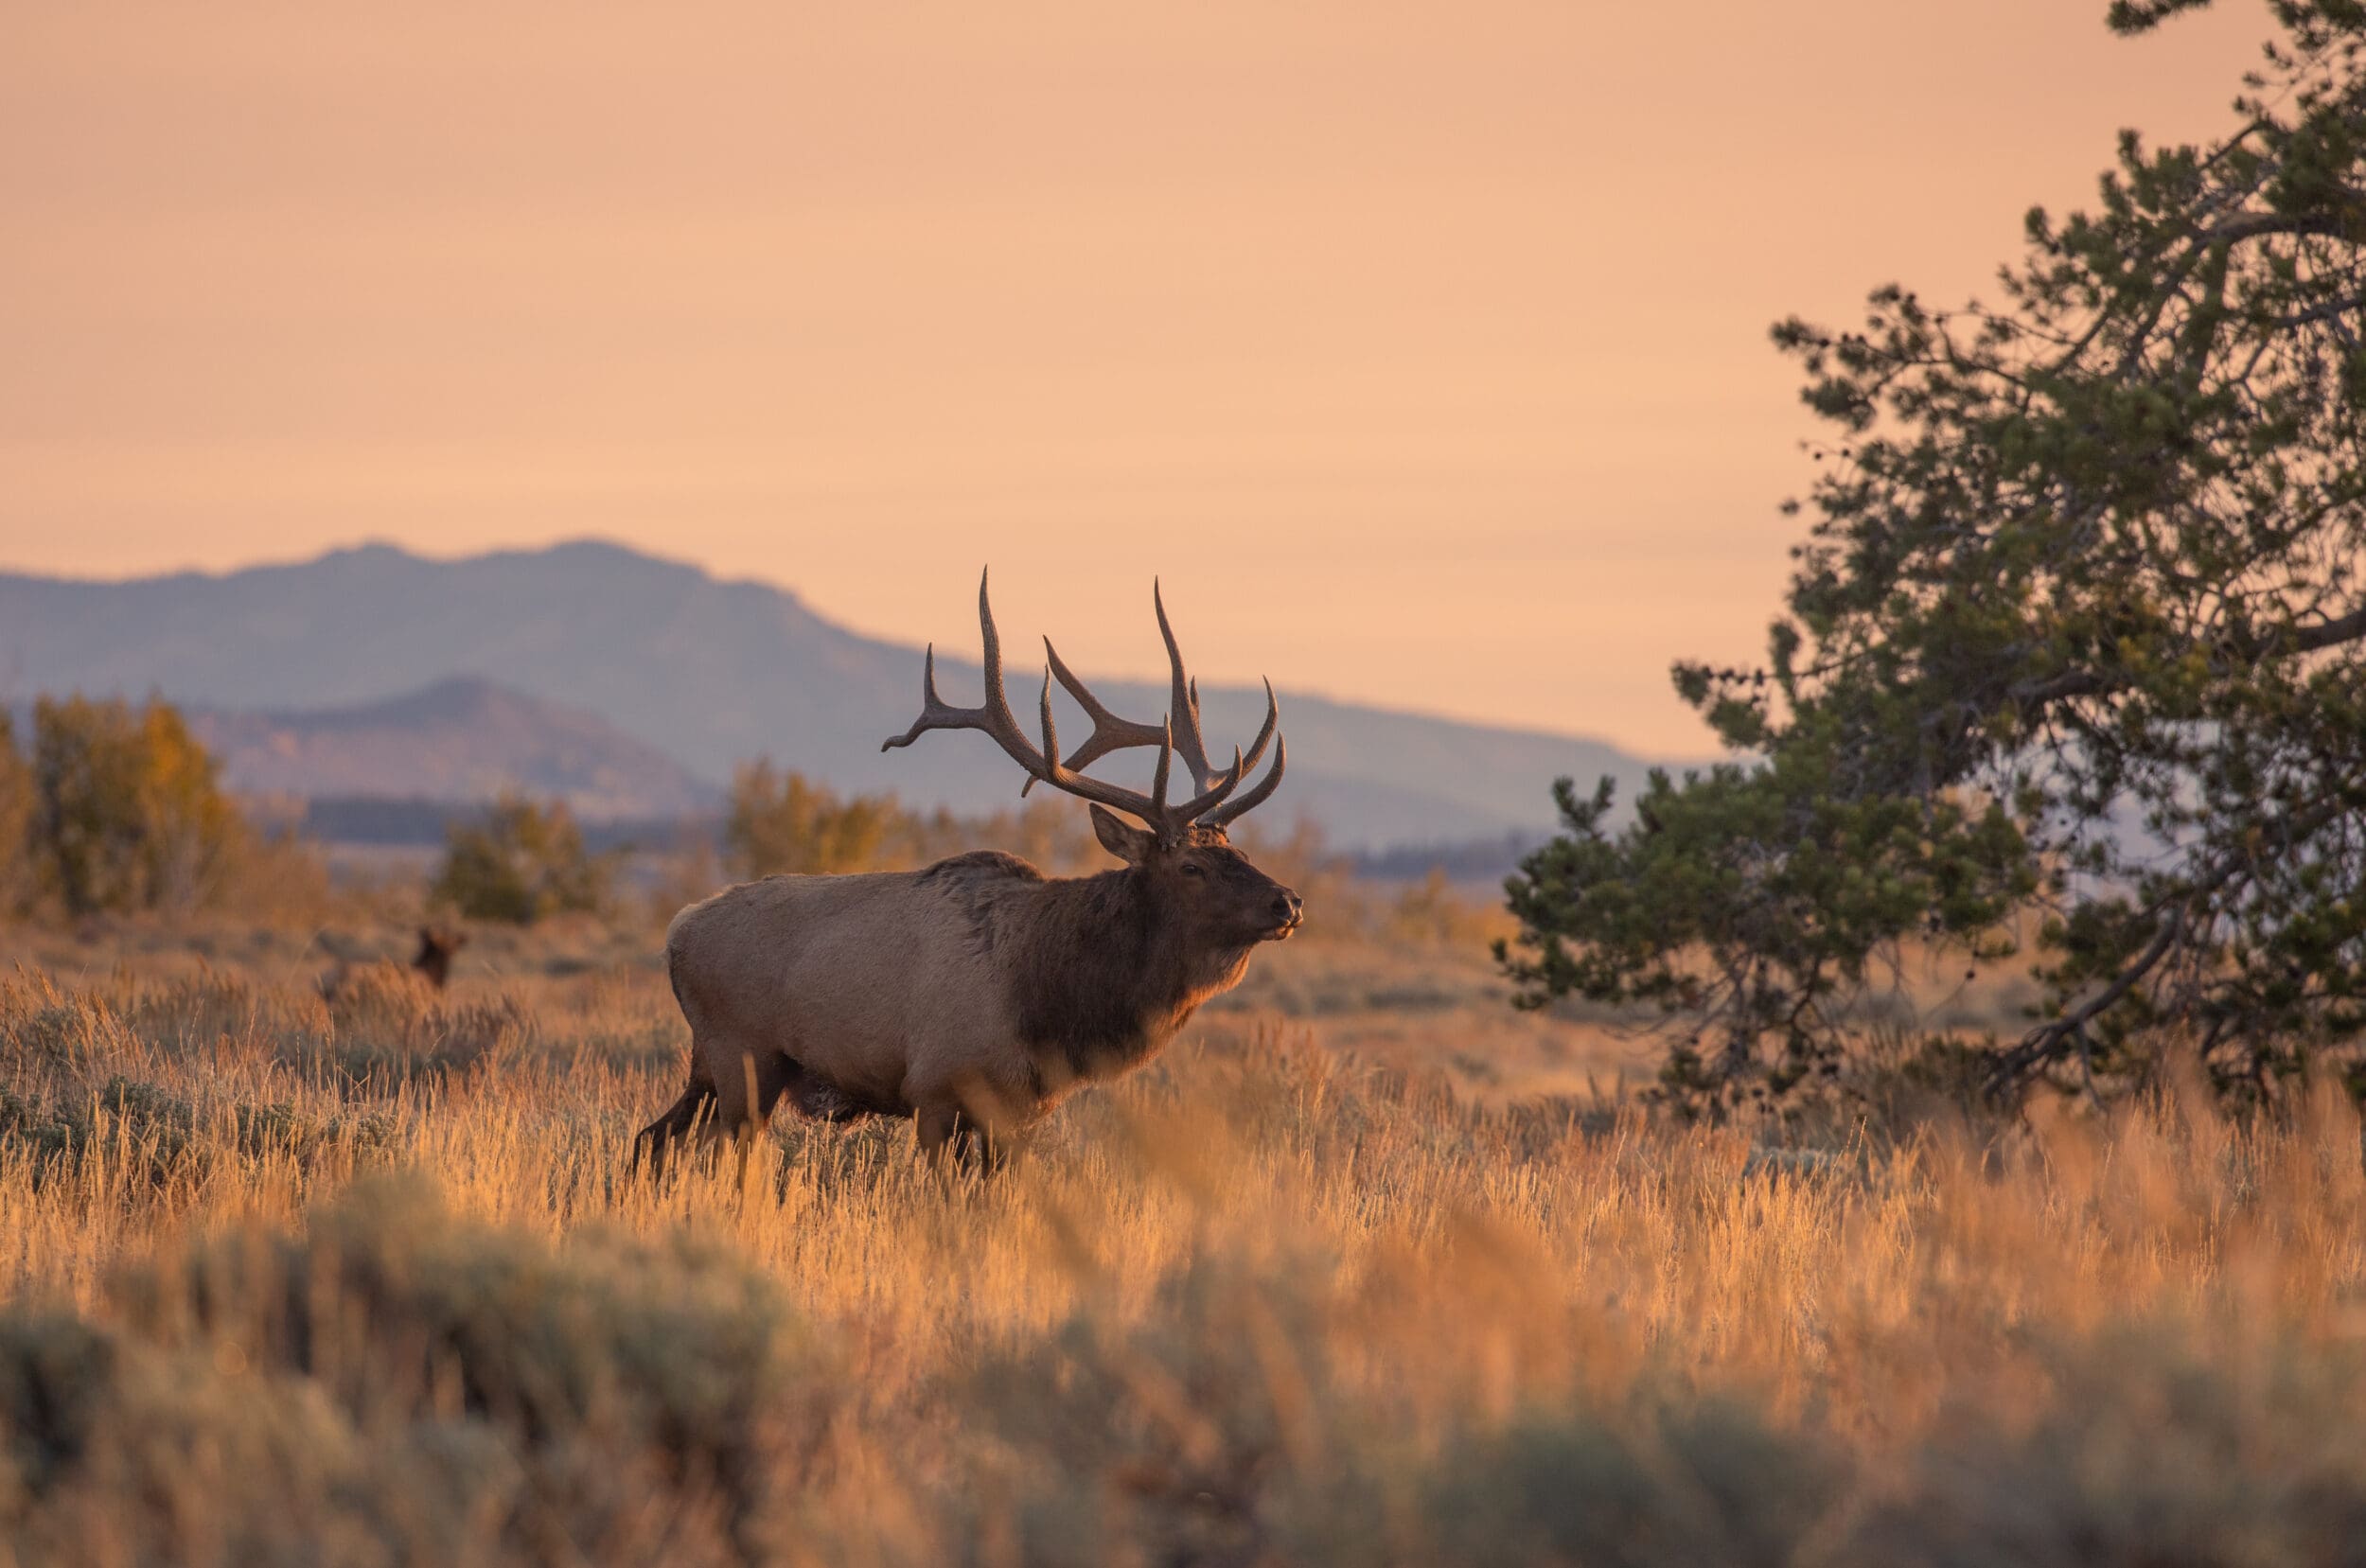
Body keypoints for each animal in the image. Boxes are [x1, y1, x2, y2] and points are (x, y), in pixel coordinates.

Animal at [639, 567, 1306, 1177]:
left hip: (711, 1068)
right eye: (1191, 865)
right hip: (742, 1057)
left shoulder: (1021, 1112)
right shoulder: (936, 1089)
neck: (1049, 1000)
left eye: (1242, 854)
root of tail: (677, 930)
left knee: (651, 1139)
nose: (1289, 903)